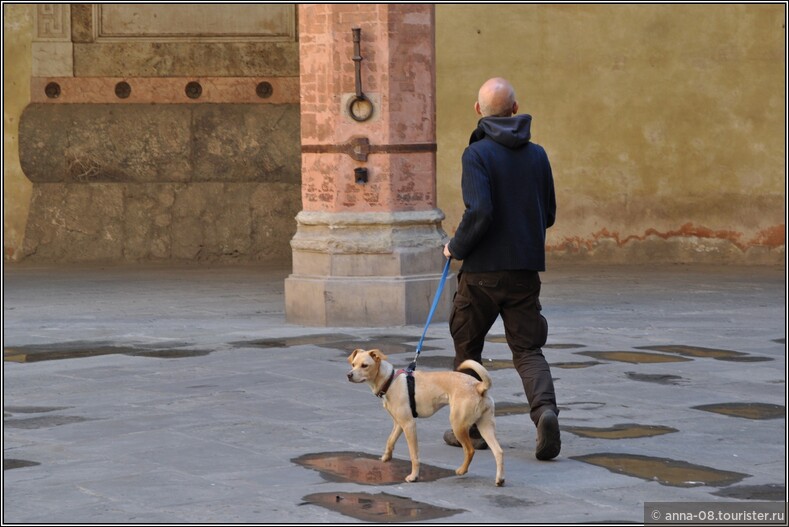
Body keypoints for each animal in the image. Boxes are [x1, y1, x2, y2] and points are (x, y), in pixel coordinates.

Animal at [346, 348, 504, 488]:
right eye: (353, 364)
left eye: (365, 365)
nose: (349, 375)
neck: (389, 381)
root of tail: (479, 386)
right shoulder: (399, 423)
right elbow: (390, 440)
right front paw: (386, 458)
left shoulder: (409, 424)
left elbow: (414, 455)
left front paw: (413, 476)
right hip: (485, 426)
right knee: (498, 451)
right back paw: (499, 479)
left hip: (458, 424)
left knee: (470, 450)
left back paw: (462, 470)